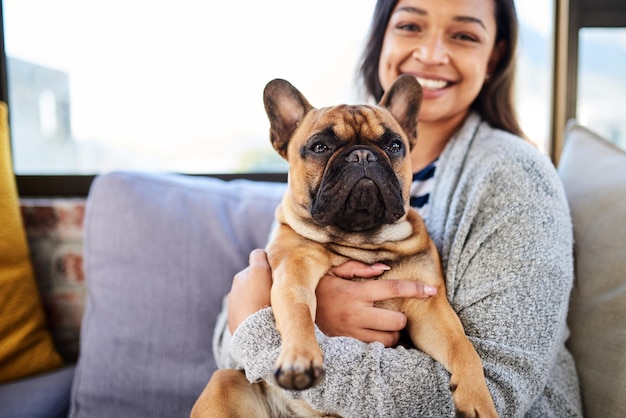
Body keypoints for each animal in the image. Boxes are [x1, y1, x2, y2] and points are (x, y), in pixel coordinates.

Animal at [193, 76, 494, 418]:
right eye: (320, 147)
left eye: (394, 146)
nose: (362, 155)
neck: (361, 239)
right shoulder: (293, 275)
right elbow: (299, 313)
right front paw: (300, 356)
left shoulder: (429, 307)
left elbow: (462, 346)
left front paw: (478, 398)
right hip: (225, 381)